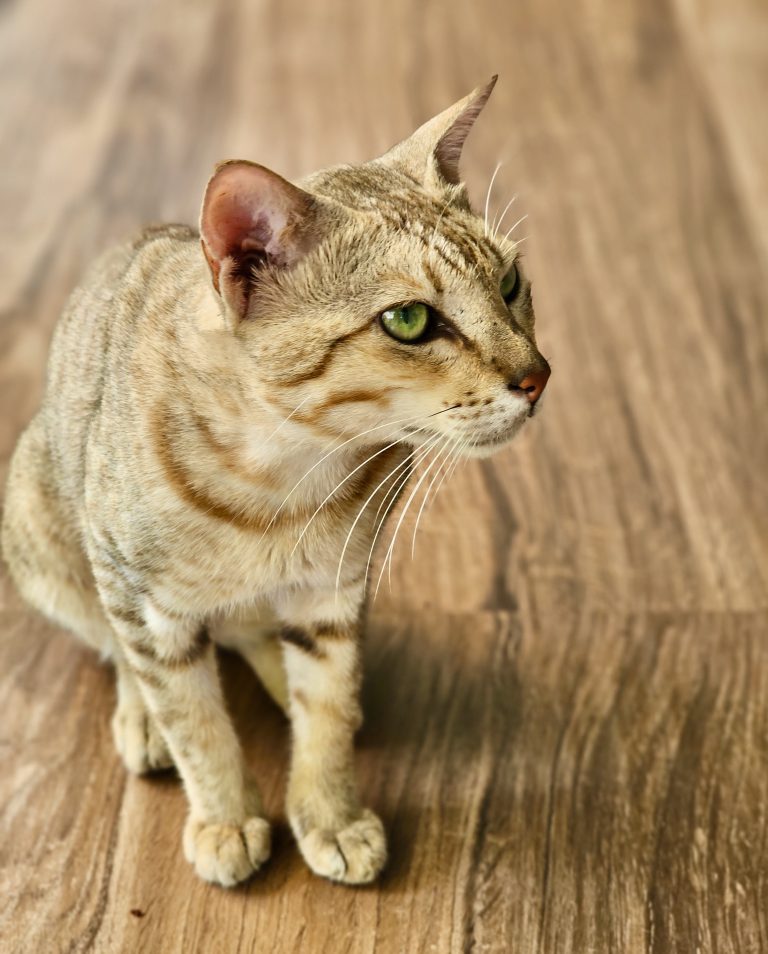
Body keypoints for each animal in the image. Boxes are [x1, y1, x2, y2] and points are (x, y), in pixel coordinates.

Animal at [1, 78, 552, 888]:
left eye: (510, 283)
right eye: (410, 320)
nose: (537, 376)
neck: (286, 477)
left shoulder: (332, 593)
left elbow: (326, 712)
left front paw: (330, 814)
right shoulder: (139, 596)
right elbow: (195, 723)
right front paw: (225, 817)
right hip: (45, 533)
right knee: (117, 649)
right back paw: (141, 718)